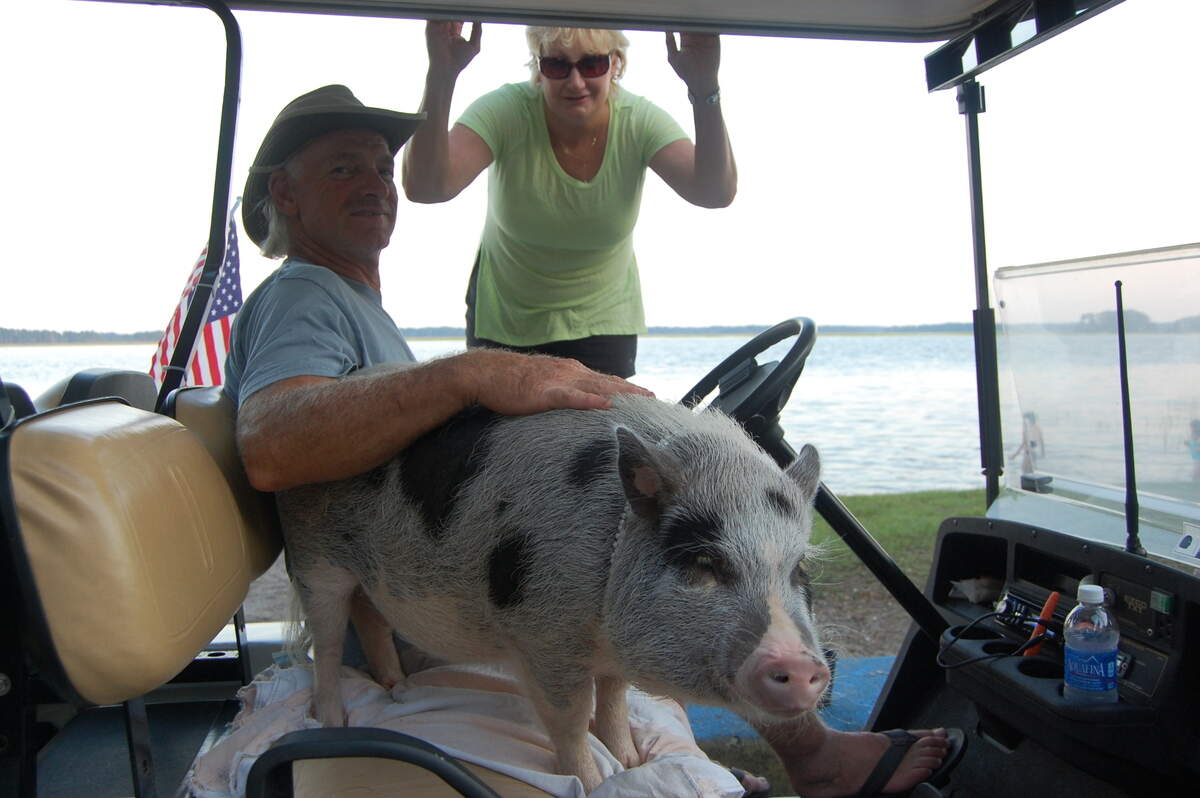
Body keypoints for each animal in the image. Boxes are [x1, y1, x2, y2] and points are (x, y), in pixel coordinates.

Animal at [276, 393, 830, 792]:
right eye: (705, 563)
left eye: (798, 570)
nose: (801, 665)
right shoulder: (543, 633)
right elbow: (570, 719)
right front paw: (595, 780)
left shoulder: (605, 645)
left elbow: (614, 697)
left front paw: (629, 759)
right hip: (314, 558)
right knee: (326, 642)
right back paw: (332, 721)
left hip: (368, 575)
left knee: (369, 617)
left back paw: (395, 687)